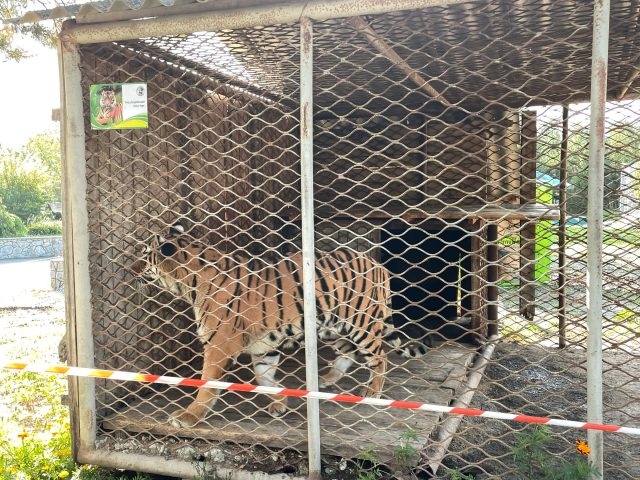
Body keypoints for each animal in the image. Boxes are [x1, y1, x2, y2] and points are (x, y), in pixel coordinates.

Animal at [130, 223, 420, 426]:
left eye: (144, 256)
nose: (131, 269)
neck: (188, 285)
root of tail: (375, 262)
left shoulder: (219, 345)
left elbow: (207, 385)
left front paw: (188, 417)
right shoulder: (263, 346)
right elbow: (263, 376)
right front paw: (280, 401)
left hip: (362, 322)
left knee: (380, 356)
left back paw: (372, 391)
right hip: (333, 326)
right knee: (347, 352)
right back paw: (326, 379)